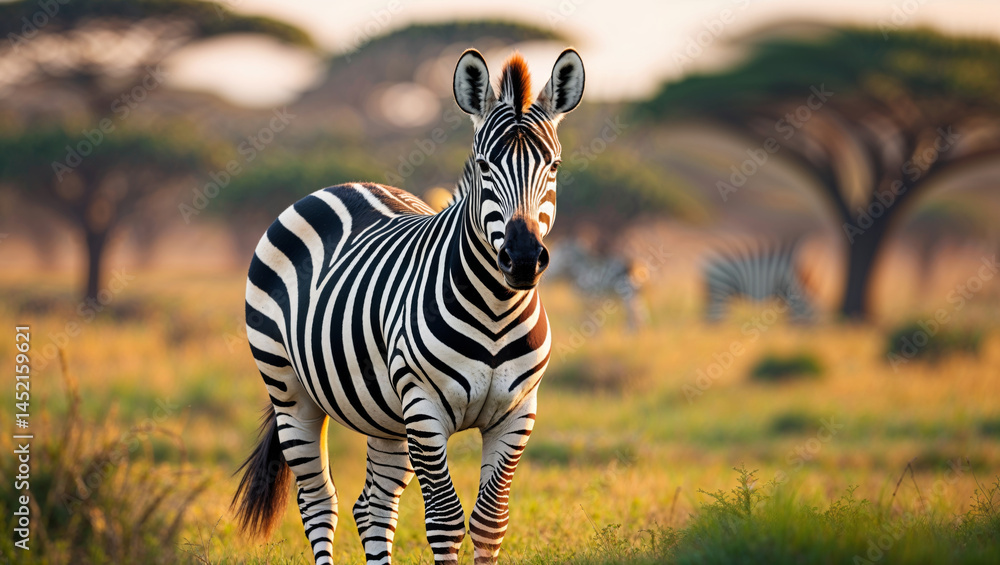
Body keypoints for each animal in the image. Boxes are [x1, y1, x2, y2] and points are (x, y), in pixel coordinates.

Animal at [231, 48, 585, 564]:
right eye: (484, 165)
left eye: (554, 166)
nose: (521, 259)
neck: (497, 309)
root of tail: (344, 185)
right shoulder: (424, 409)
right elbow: (445, 520)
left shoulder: (517, 414)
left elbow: (489, 522)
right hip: (290, 391)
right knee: (319, 500)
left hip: (382, 410)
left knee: (372, 507)